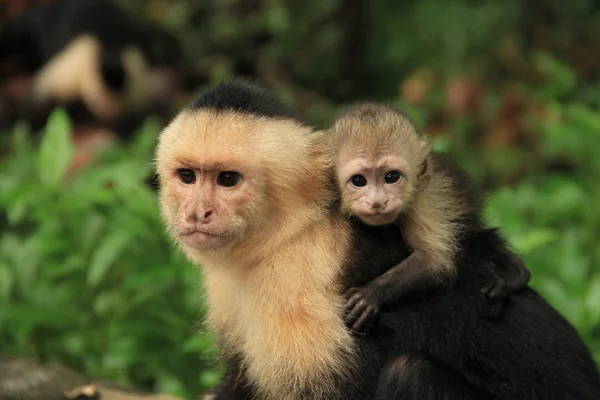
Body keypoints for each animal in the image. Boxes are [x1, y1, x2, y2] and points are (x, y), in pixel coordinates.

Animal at [330, 103, 532, 332]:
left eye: (392, 177)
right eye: (358, 181)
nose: (378, 202)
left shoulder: (419, 202)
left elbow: (434, 261)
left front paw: (372, 294)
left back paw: (515, 273)